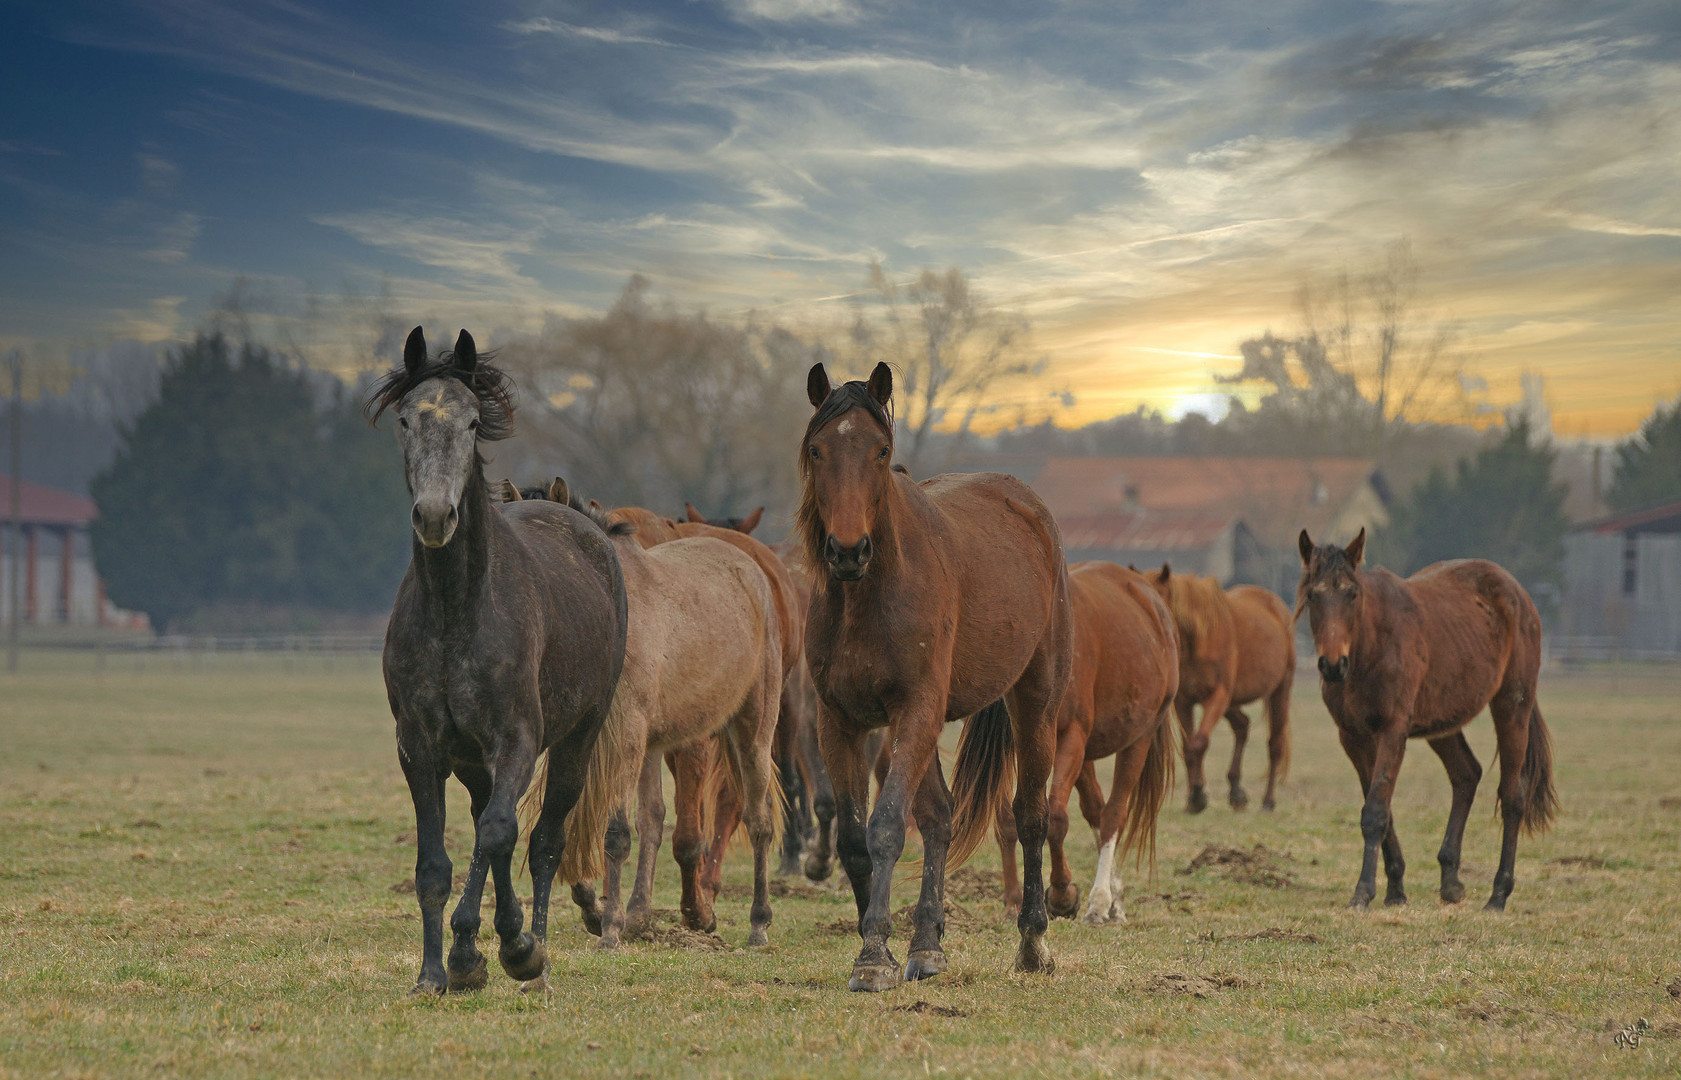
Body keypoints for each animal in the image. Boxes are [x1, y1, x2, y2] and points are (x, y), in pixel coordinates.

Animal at [368, 328, 632, 995]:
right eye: (406, 420)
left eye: (469, 422)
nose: (436, 516)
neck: (455, 613)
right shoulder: (420, 748)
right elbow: (436, 863)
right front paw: (437, 971)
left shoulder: (517, 739)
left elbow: (498, 833)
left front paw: (511, 950)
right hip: (471, 761)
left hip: (577, 738)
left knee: (541, 840)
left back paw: (533, 955)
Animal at [796, 363, 1062, 995]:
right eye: (818, 449)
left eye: (881, 450)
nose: (847, 551)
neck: (869, 596)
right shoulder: (841, 722)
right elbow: (855, 839)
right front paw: (883, 947)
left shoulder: (915, 708)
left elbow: (888, 827)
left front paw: (873, 954)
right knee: (940, 819)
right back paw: (927, 946)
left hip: (1034, 701)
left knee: (1030, 812)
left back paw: (1033, 942)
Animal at [988, 558, 1176, 921]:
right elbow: (1012, 818)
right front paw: (1023, 898)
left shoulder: (1069, 737)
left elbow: (1058, 817)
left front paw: (1063, 894)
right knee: (1100, 811)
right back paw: (1109, 897)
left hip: (1135, 739)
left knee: (1113, 813)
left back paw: (1100, 900)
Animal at [1143, 571, 1297, 807]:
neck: (1198, 641)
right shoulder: (1184, 701)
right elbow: (1188, 747)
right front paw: (1194, 798)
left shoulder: (1218, 695)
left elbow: (1199, 743)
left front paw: (1198, 794)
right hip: (1231, 703)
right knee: (1242, 725)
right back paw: (1236, 791)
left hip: (1280, 690)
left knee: (1275, 745)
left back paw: (1268, 801)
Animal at [1297, 531, 1559, 908]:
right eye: (1312, 595)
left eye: (1352, 594)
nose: (1332, 665)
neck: (1370, 648)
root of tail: (1518, 593)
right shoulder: (1353, 738)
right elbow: (1383, 809)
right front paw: (1395, 890)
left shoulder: (1393, 731)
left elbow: (1375, 812)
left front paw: (1363, 892)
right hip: (1443, 722)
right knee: (1466, 774)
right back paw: (1451, 881)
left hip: (1512, 706)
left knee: (1513, 796)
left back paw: (1498, 894)